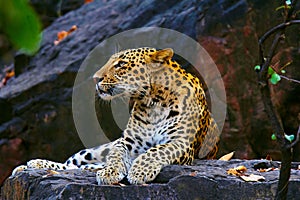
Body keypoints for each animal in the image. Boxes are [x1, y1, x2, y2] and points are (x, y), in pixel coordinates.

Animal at [11, 47, 219, 184]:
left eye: (121, 64)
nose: (95, 78)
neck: (154, 101)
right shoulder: (127, 142)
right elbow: (116, 155)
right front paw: (110, 172)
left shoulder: (181, 142)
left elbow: (156, 151)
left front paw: (139, 172)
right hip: (92, 151)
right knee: (72, 164)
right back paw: (33, 164)